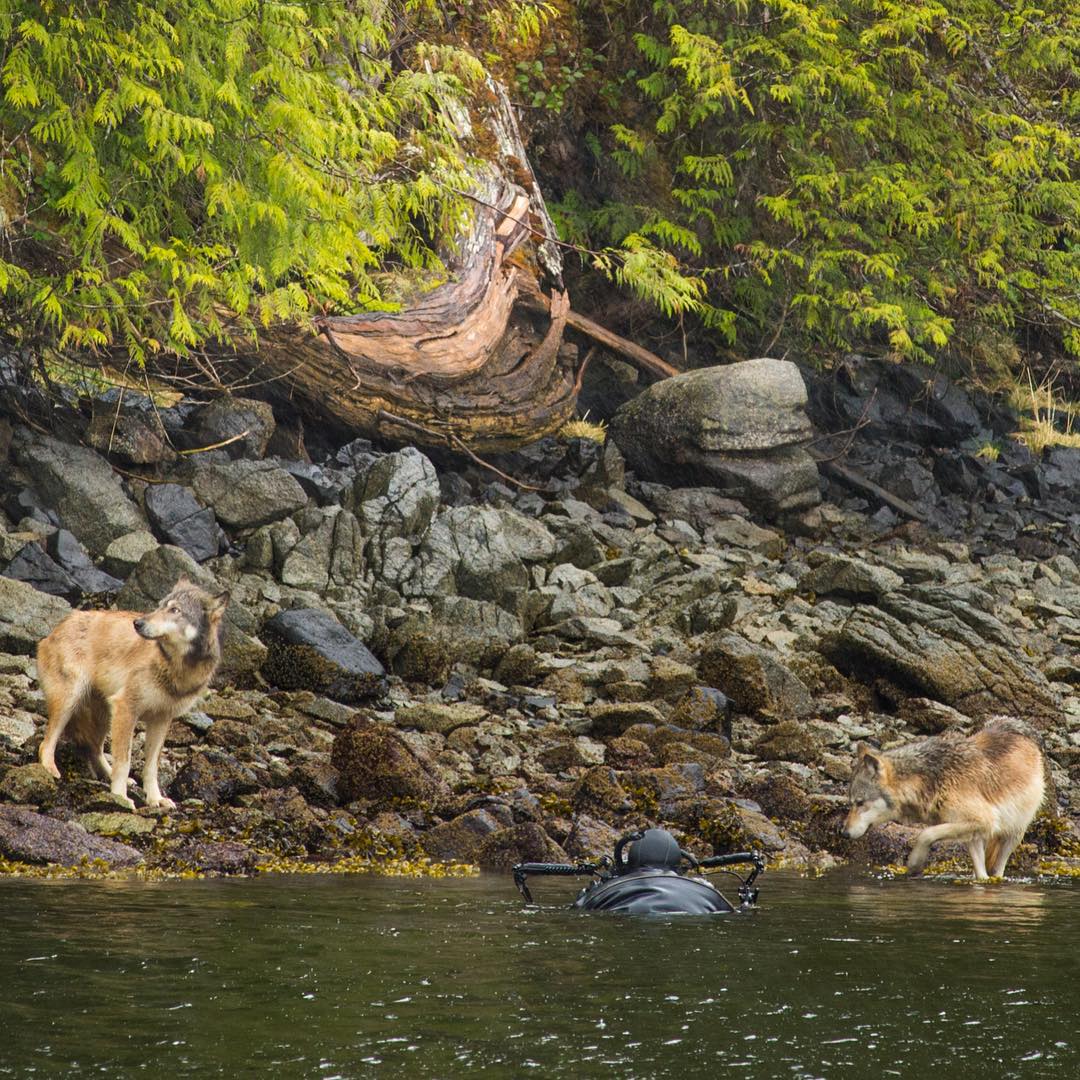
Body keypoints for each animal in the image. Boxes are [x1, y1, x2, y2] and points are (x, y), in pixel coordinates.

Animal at [36, 578, 227, 807]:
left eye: (175, 610)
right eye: (160, 606)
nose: (138, 623)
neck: (175, 667)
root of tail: (56, 628)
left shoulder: (161, 720)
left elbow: (151, 766)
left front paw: (156, 799)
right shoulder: (127, 709)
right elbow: (124, 761)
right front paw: (120, 797)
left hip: (104, 716)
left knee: (94, 748)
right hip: (70, 703)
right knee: (47, 743)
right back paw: (50, 769)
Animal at [838, 717, 1041, 876]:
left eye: (860, 803)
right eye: (851, 803)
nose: (844, 834)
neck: (933, 781)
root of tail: (1016, 726)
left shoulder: (983, 820)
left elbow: (925, 833)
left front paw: (915, 863)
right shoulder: (970, 826)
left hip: (1011, 834)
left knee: (998, 871)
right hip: (976, 839)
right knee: (982, 875)